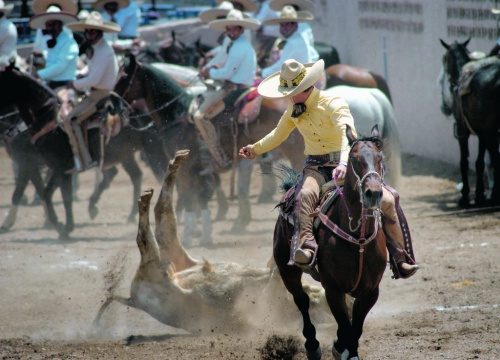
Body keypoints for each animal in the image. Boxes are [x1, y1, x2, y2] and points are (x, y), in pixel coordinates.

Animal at [0, 63, 168, 238]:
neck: (49, 124)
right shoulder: (55, 168)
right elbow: (46, 193)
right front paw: (58, 225)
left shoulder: (42, 166)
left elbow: (60, 197)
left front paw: (66, 227)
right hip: (126, 153)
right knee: (135, 175)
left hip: (153, 152)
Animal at [93, 150, 332, 334]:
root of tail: (131, 299)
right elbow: (272, 266)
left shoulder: (269, 300)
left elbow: (274, 277)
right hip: (176, 257)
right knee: (162, 217)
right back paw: (171, 167)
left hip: (156, 275)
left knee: (149, 235)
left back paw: (147, 196)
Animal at [112, 53, 304, 245]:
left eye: (123, 77)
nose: (111, 105)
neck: (178, 115)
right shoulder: (199, 170)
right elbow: (201, 197)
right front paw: (205, 234)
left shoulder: (186, 170)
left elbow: (189, 198)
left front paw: (187, 237)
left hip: (296, 154)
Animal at [274, 125, 386, 358]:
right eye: (354, 159)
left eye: (380, 158)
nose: (373, 193)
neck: (359, 239)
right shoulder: (332, 288)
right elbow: (345, 324)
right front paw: (341, 348)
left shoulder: (371, 291)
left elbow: (355, 327)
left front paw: (345, 349)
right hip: (286, 269)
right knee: (302, 300)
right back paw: (312, 346)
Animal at [438, 38, 500, 207]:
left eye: (445, 60)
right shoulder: (483, 133)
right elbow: (481, 162)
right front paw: (480, 195)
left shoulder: (462, 130)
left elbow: (465, 162)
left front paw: (466, 196)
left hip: (489, 130)